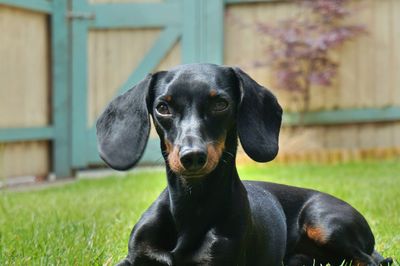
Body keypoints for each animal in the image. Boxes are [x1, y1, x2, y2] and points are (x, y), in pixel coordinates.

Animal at [96, 63, 390, 264]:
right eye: (162, 107)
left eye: (221, 104)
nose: (192, 156)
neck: (191, 206)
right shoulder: (135, 257)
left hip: (324, 223)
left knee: (370, 260)